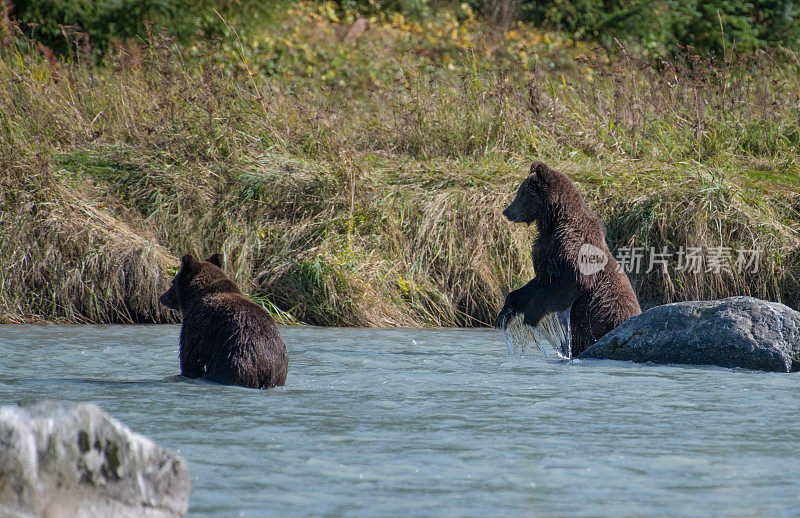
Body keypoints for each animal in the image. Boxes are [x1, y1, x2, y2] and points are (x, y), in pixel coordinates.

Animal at [159, 256, 288, 390]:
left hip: (236, 361)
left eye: (173, 282)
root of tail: (267, 371)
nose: (162, 297)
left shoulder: (197, 323)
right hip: (279, 371)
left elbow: (190, 356)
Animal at [494, 162, 644, 358]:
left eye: (521, 194)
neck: (553, 222)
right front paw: (504, 313)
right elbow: (537, 284)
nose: (507, 212)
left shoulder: (572, 246)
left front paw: (531, 315)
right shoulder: (547, 254)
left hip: (606, 321)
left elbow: (575, 280)